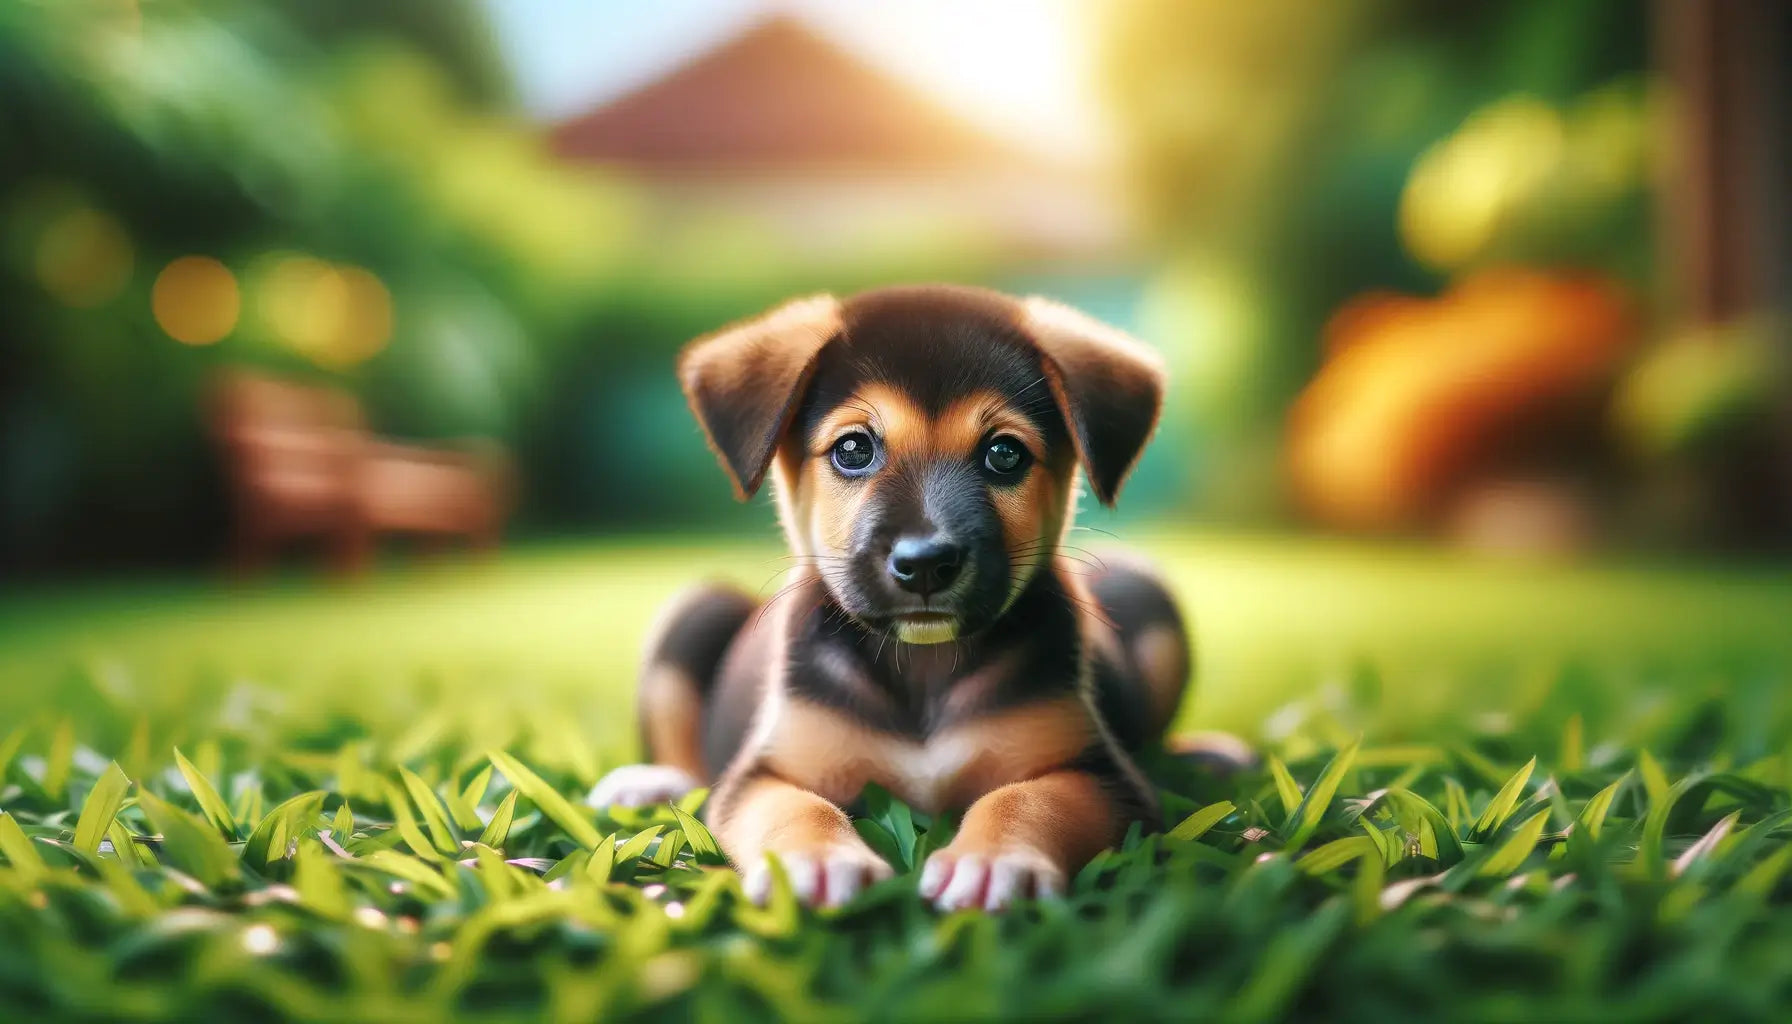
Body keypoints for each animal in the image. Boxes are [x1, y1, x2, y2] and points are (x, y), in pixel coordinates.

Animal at [587, 283, 1197, 914]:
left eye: (1005, 454)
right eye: (853, 449)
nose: (926, 563)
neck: (923, 666)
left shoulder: (1101, 776)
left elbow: (1027, 798)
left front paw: (994, 860)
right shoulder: (763, 774)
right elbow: (796, 808)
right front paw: (816, 861)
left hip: (1144, 591)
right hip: (695, 612)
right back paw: (650, 783)